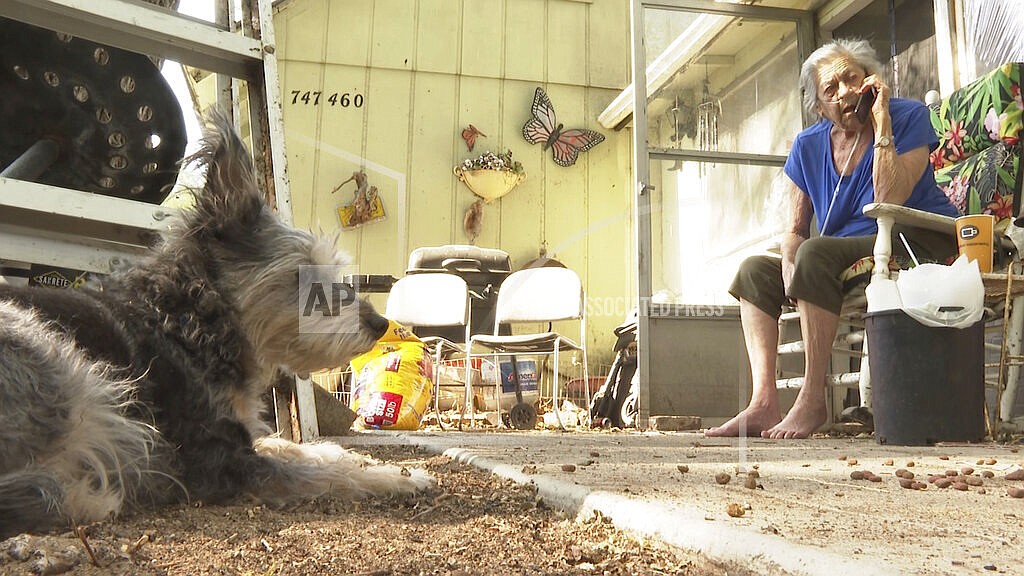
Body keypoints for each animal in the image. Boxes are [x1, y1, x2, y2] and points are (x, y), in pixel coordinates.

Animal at [0, 113, 432, 537]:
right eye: (303, 274)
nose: (379, 322)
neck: (189, 320)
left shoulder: (243, 433)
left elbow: (294, 445)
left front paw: (361, 457)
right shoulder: (221, 458)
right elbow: (322, 472)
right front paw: (400, 477)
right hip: (59, 361)